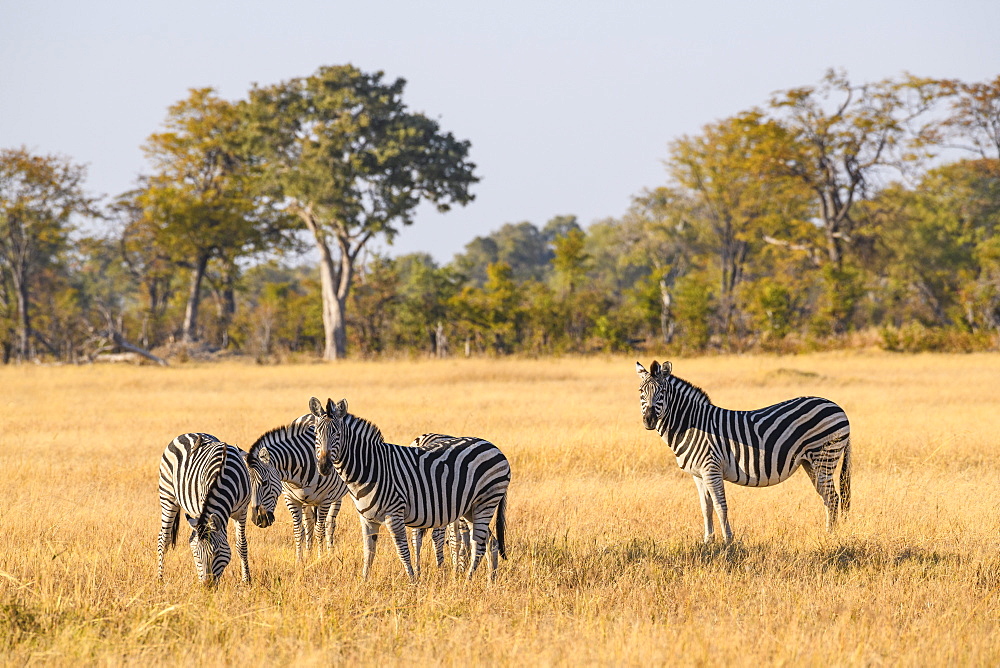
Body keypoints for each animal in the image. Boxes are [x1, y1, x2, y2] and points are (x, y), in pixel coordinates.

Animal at [157, 434, 282, 584]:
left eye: (216, 552)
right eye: (197, 554)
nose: (207, 585)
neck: (223, 475)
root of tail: (187, 434)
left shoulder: (242, 512)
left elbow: (241, 545)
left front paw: (246, 580)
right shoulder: (202, 505)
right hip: (168, 497)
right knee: (163, 538)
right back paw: (160, 579)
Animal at [248, 414, 350, 560]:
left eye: (265, 483)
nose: (257, 520)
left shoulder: (325, 499)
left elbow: (320, 530)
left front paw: (320, 559)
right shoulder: (290, 498)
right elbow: (298, 531)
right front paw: (300, 560)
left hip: (336, 496)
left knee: (329, 524)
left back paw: (330, 553)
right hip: (306, 501)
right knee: (309, 524)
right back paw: (308, 553)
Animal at [310, 396, 508, 580]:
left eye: (337, 433)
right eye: (316, 434)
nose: (323, 467)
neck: (370, 467)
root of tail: (493, 447)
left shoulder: (394, 514)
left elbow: (402, 551)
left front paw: (413, 581)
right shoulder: (366, 519)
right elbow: (368, 553)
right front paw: (364, 583)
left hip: (486, 502)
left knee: (479, 545)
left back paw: (466, 582)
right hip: (471, 509)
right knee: (492, 543)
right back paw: (491, 581)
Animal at [636, 360, 848, 544]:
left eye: (663, 391)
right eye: (640, 392)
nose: (649, 421)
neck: (691, 425)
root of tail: (836, 406)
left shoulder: (711, 469)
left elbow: (721, 506)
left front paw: (728, 542)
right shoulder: (698, 475)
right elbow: (706, 507)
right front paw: (708, 541)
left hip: (824, 455)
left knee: (832, 498)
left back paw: (830, 536)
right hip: (810, 463)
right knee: (827, 497)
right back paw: (829, 532)